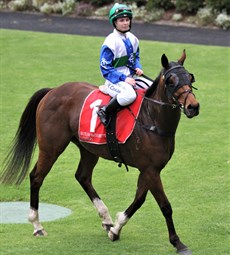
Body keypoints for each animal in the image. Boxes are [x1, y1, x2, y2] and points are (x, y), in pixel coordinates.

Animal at [0, 50, 199, 255]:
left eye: (190, 77)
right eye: (170, 81)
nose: (193, 106)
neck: (151, 119)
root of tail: (53, 90)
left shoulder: (149, 170)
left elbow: (139, 199)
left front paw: (116, 229)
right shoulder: (151, 170)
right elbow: (165, 205)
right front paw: (177, 242)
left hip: (88, 148)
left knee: (82, 176)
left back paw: (106, 219)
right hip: (51, 147)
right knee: (36, 177)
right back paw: (37, 225)